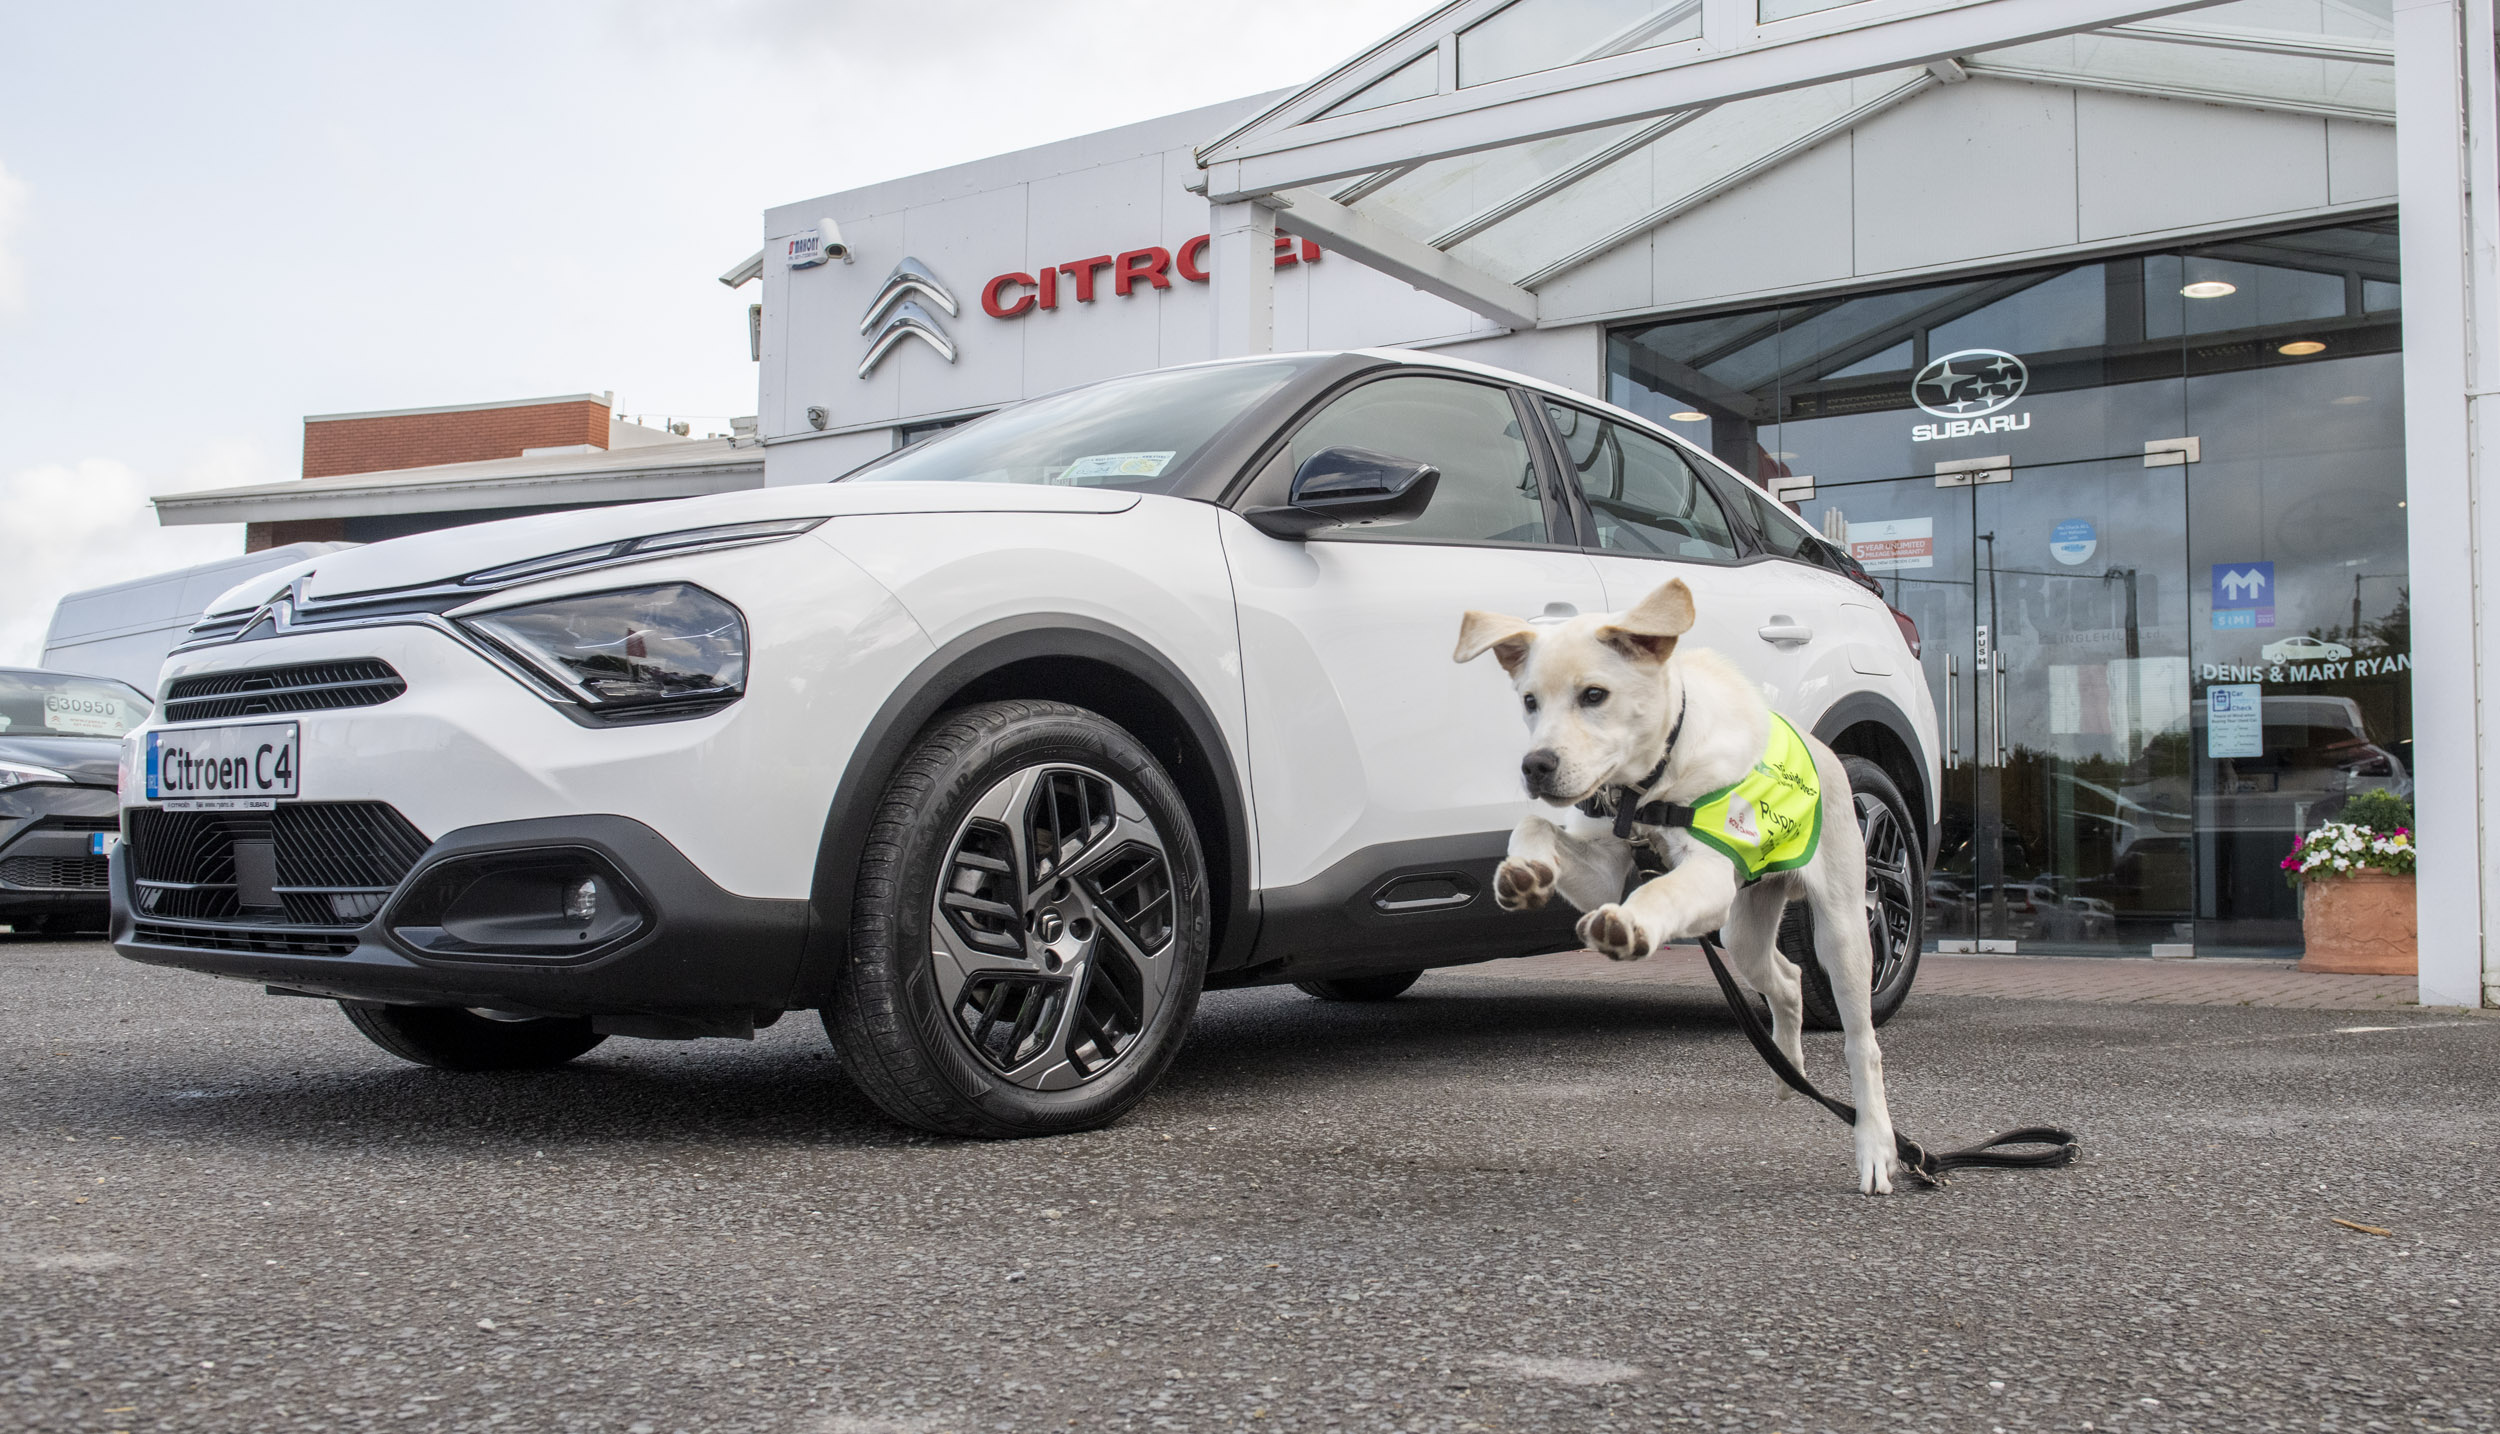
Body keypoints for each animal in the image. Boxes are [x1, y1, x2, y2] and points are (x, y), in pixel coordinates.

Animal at [1454, 577, 1900, 1194]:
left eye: (1594, 695)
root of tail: (1828, 753)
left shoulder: (1708, 873)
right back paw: (1789, 1073)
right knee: (1786, 979)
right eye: (1529, 701)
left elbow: (1657, 892)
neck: (1650, 783)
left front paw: (1629, 925)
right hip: (1744, 929)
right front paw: (1525, 871)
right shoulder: (1605, 868)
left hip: (1841, 929)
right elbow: (1535, 823)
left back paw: (1875, 1146)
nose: (1535, 765)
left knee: (1863, 1042)